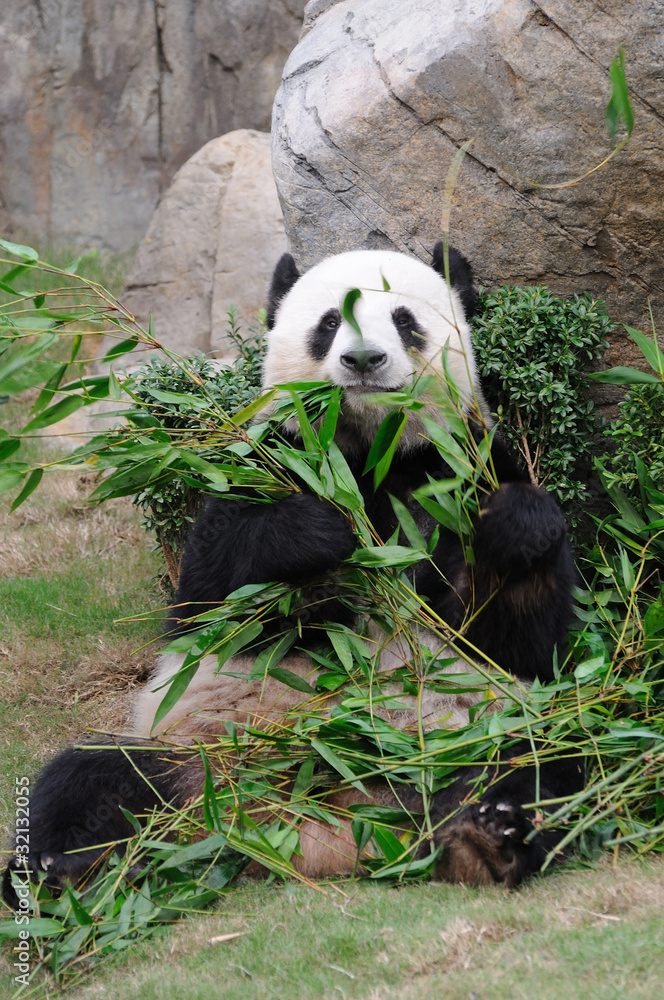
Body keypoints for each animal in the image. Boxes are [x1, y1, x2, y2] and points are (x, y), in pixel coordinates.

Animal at [2, 244, 583, 905]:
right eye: (330, 322)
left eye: (405, 320)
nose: (364, 359)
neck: (366, 451)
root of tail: (315, 834)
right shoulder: (259, 462)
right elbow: (208, 602)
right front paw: (320, 535)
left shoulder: (457, 465)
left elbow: (515, 638)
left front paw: (515, 525)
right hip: (197, 750)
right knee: (92, 776)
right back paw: (62, 871)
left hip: (477, 732)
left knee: (543, 763)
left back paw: (484, 838)